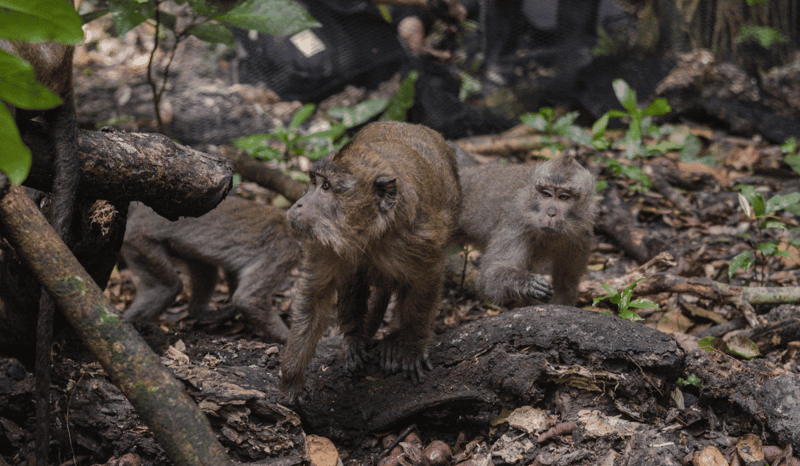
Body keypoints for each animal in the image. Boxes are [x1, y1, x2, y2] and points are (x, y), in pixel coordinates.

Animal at [120, 196, 301, 344]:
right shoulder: (282, 251)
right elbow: (248, 298)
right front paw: (288, 340)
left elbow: (236, 277)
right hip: (139, 242)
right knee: (167, 288)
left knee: (204, 268)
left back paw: (201, 312)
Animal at [280, 120, 461, 403]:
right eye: (314, 182)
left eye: (327, 187)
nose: (299, 204)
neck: (370, 232)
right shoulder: (324, 244)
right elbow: (315, 295)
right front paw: (292, 379)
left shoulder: (419, 240)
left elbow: (426, 281)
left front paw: (411, 346)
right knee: (354, 276)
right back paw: (355, 337)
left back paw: (394, 338)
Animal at [455, 154, 597, 307]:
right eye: (546, 194)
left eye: (564, 197)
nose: (551, 213)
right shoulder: (516, 221)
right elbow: (489, 277)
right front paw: (528, 283)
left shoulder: (581, 237)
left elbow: (565, 286)